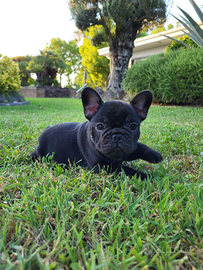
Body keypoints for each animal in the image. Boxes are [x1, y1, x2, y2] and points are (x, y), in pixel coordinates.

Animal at [30, 88, 163, 179]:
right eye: (100, 126)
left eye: (133, 126)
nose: (117, 136)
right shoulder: (102, 166)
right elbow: (125, 170)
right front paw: (144, 175)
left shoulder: (128, 149)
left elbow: (138, 146)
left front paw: (154, 154)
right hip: (39, 152)